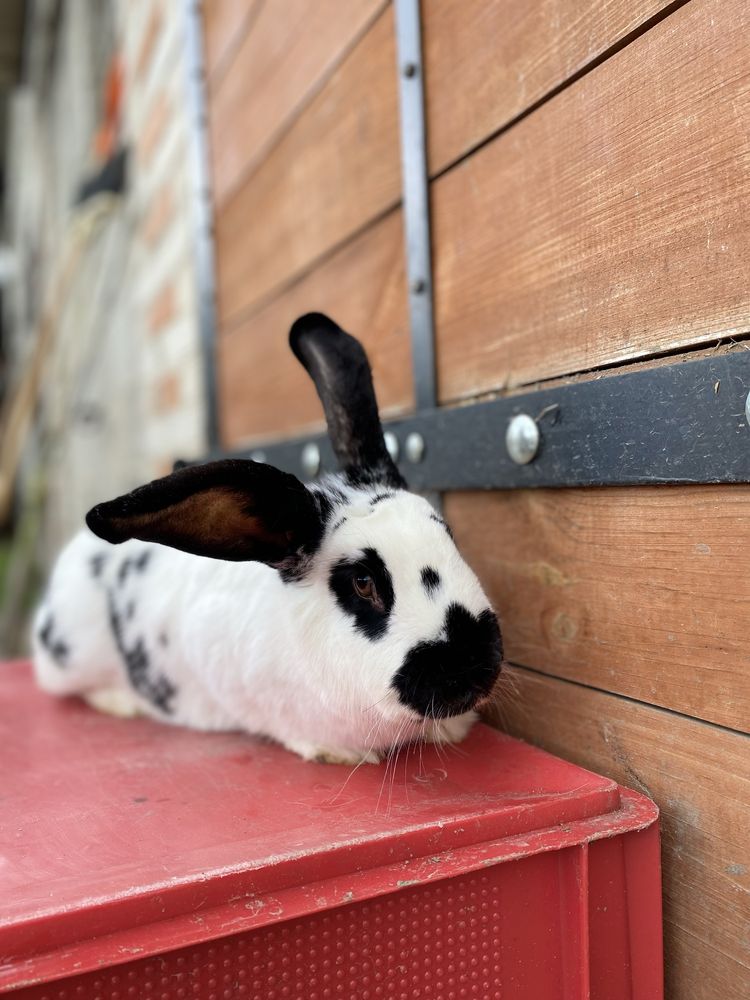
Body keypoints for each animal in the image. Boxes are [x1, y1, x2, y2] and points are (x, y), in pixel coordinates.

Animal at [33, 314, 506, 764]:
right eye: (363, 582)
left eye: (449, 535)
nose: (472, 664)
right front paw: (337, 752)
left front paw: (453, 728)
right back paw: (120, 702)